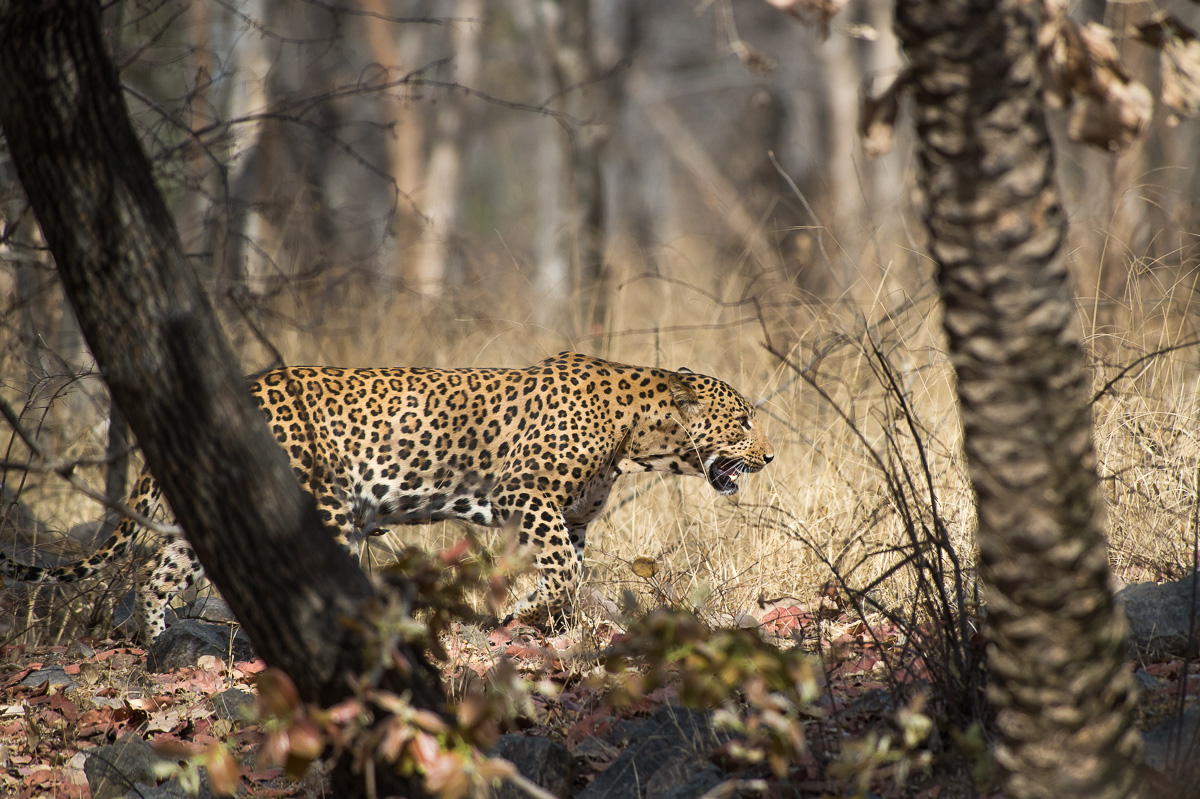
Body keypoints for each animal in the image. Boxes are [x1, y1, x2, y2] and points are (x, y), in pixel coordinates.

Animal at [2, 352, 774, 639]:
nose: (768, 457)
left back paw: (159, 639)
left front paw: (548, 624)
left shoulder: (570, 517)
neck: (640, 435)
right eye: (741, 420)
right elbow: (562, 569)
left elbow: (567, 567)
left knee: (160, 574)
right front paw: (529, 612)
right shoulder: (526, 495)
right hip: (323, 507)